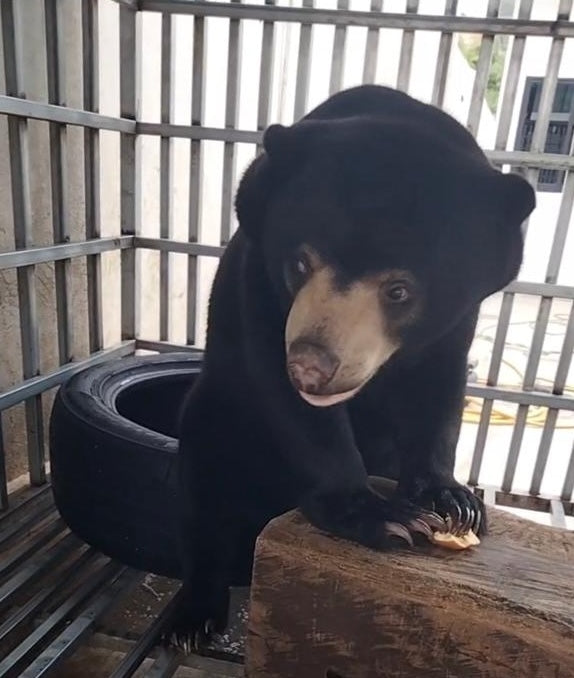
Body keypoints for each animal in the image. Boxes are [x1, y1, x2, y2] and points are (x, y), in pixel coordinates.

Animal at [167, 85, 536, 651]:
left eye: (399, 290)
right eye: (299, 263)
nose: (310, 365)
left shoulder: (458, 320)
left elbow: (439, 392)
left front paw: (453, 501)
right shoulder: (259, 286)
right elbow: (291, 405)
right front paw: (384, 518)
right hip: (215, 416)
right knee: (203, 486)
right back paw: (191, 618)